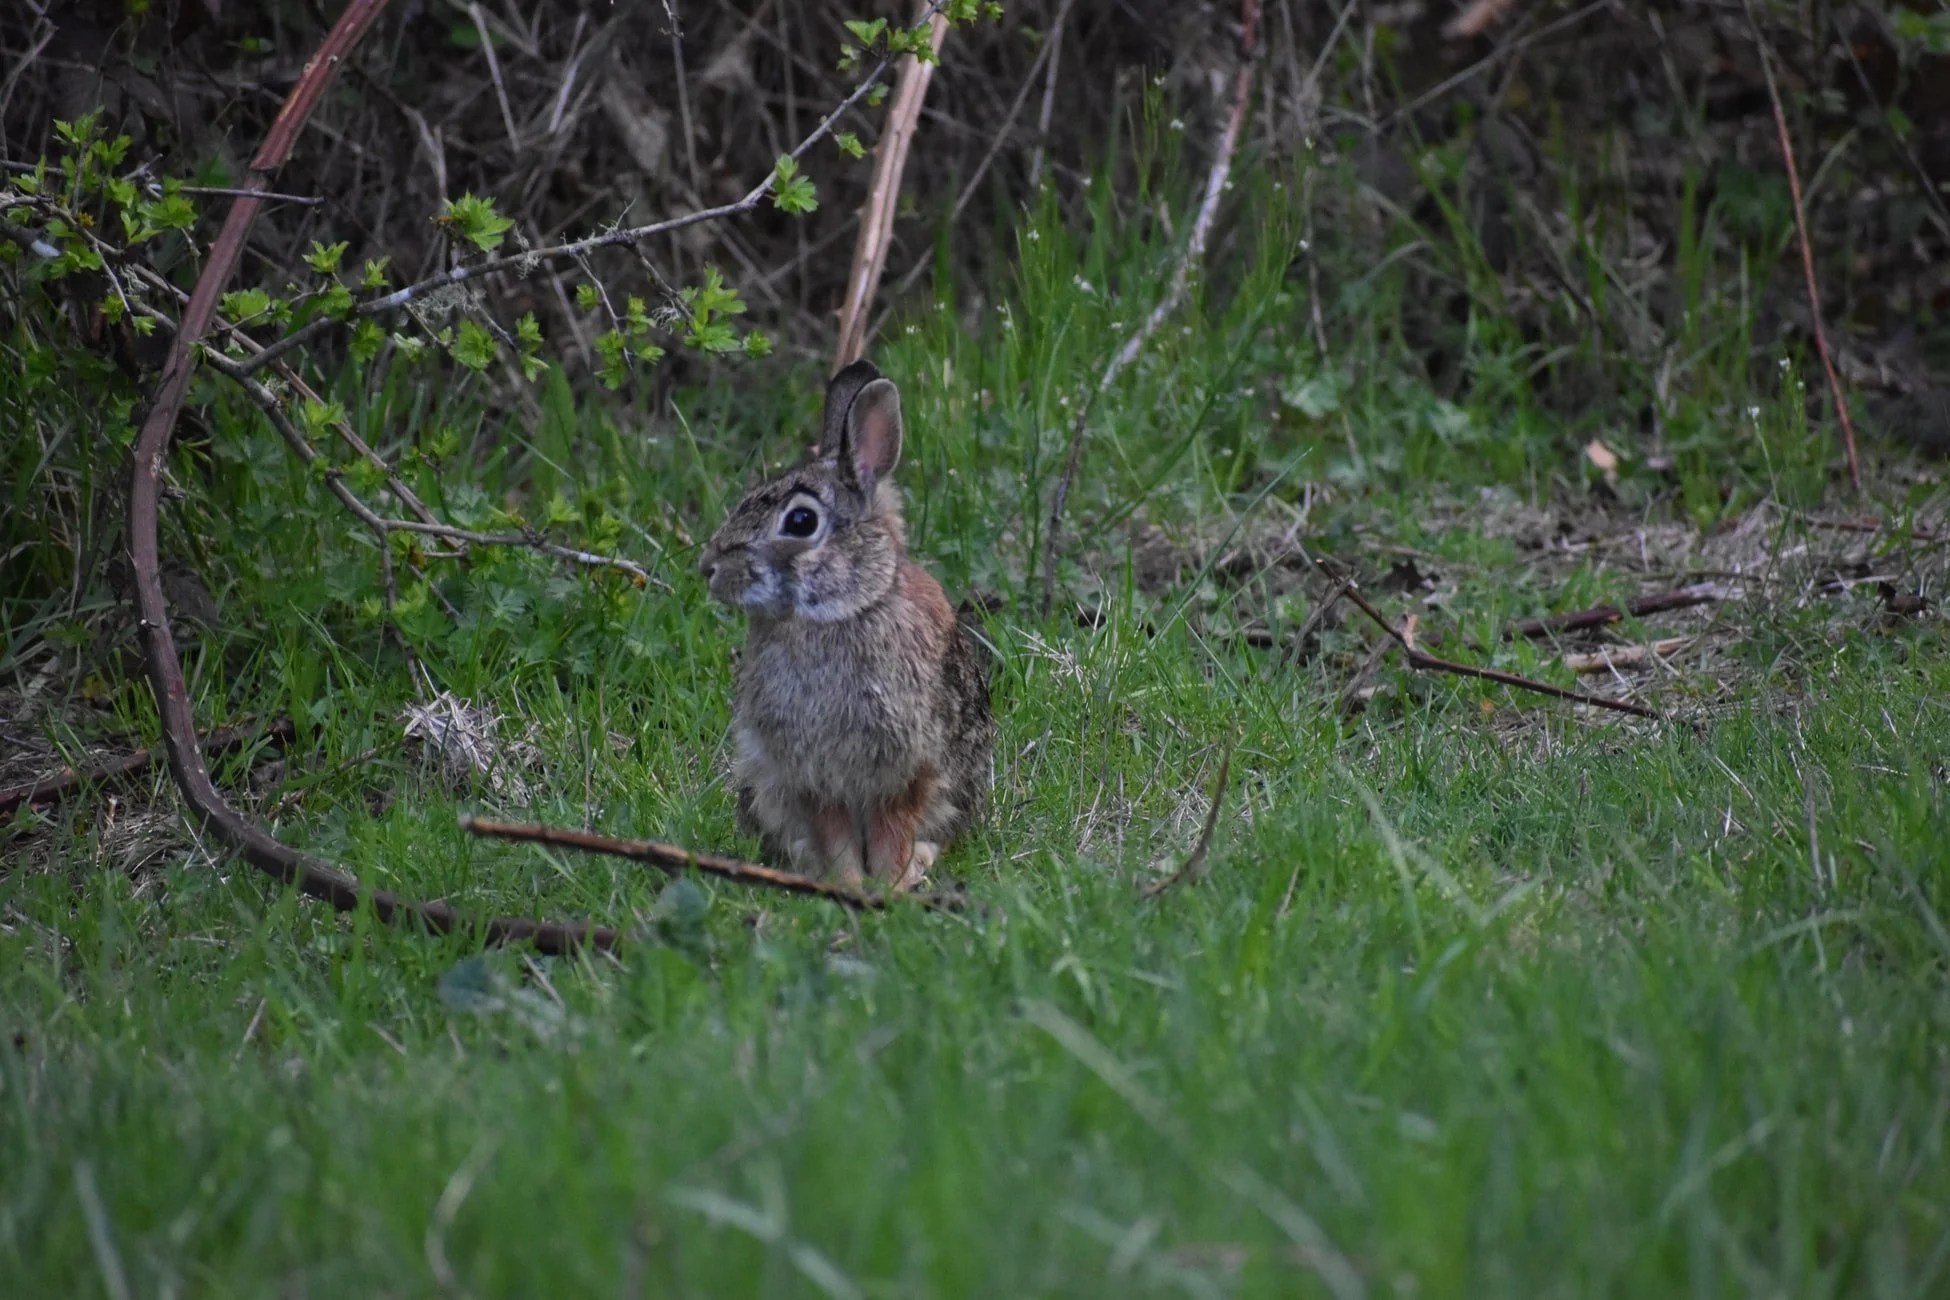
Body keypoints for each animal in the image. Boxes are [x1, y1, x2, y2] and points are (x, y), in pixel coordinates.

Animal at [698, 359, 997, 890]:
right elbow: (834, 833)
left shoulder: (907, 765)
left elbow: (893, 829)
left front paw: (891, 887)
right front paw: (849, 885)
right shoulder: (810, 774)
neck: (844, 609)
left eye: (800, 522)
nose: (707, 567)